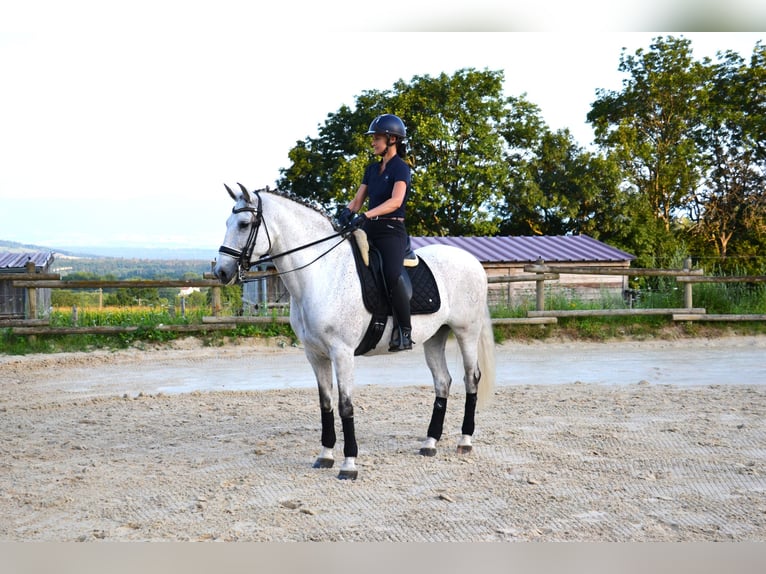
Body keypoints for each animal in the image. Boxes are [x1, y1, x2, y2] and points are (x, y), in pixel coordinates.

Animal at [214, 186, 498, 482]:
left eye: (244, 224)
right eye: (227, 223)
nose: (221, 271)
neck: (322, 273)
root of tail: (472, 261)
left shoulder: (342, 352)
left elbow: (345, 405)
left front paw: (349, 464)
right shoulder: (315, 355)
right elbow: (326, 404)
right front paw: (325, 455)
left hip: (466, 332)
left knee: (471, 379)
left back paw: (465, 440)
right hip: (434, 337)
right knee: (443, 382)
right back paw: (430, 443)